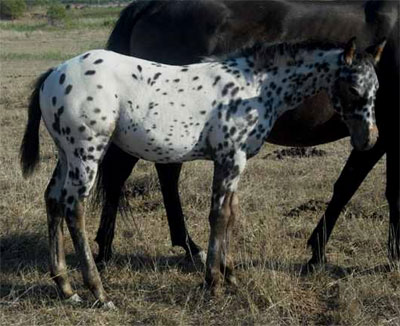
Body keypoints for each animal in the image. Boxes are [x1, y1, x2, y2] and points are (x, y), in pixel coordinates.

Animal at [21, 38, 384, 306]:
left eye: (377, 89)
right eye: (353, 89)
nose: (369, 139)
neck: (255, 88)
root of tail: (54, 73)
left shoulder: (235, 161)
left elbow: (232, 214)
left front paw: (231, 274)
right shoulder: (230, 157)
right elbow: (219, 216)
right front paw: (213, 282)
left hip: (65, 154)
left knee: (52, 200)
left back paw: (66, 287)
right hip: (87, 153)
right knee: (74, 208)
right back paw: (98, 291)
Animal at [95, 0, 398, 268]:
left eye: (376, 88)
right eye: (353, 90)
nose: (366, 138)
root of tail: (148, 6)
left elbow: (352, 185)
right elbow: (359, 187)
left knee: (163, 175)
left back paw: (186, 247)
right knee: (121, 174)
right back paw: (106, 251)